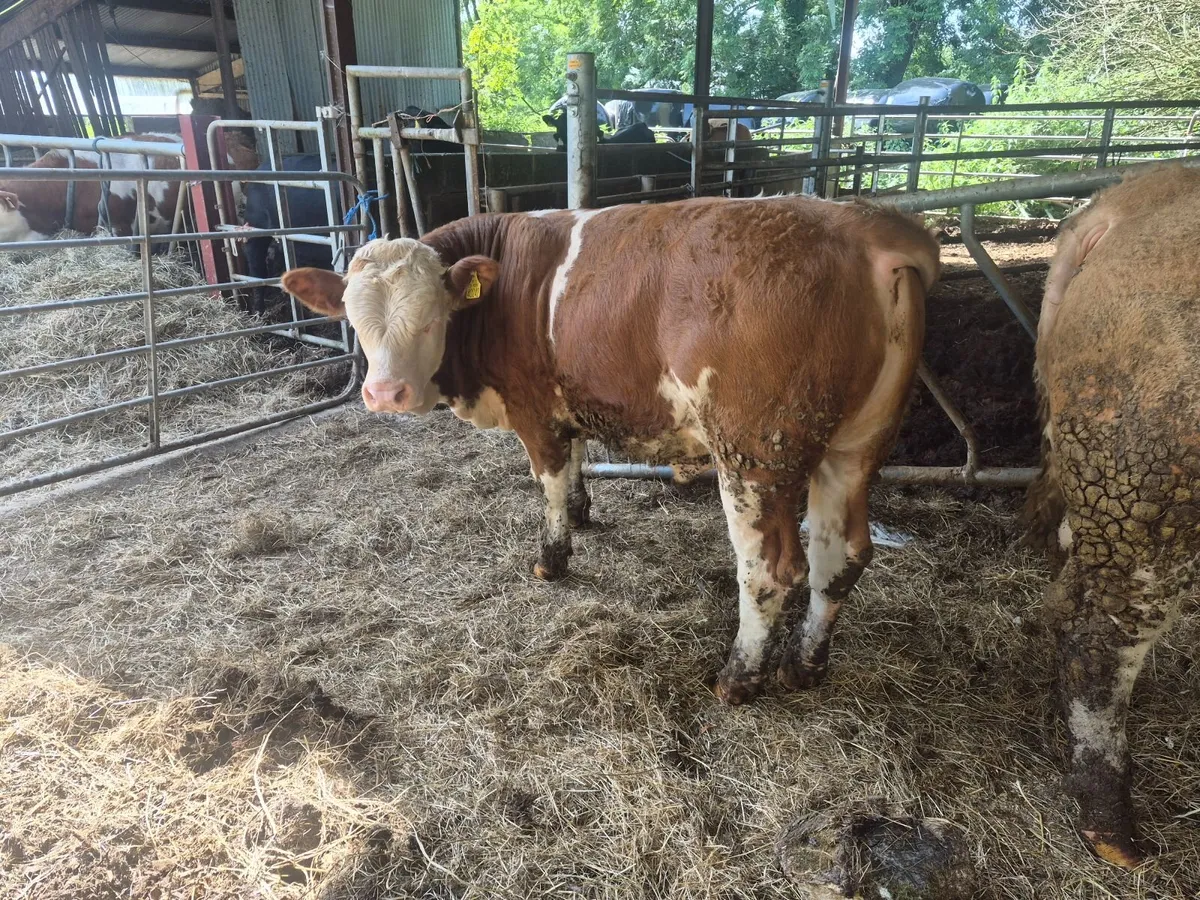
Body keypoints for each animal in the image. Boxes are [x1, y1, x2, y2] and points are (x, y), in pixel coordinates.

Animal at [281, 195, 940, 703]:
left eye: (429, 318)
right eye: (353, 318)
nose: (384, 394)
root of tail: (859, 225)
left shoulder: (533, 411)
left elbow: (547, 480)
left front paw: (553, 556)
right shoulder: (568, 401)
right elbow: (574, 462)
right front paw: (581, 512)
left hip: (755, 455)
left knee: (771, 570)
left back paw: (739, 677)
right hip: (855, 448)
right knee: (841, 556)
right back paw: (803, 666)